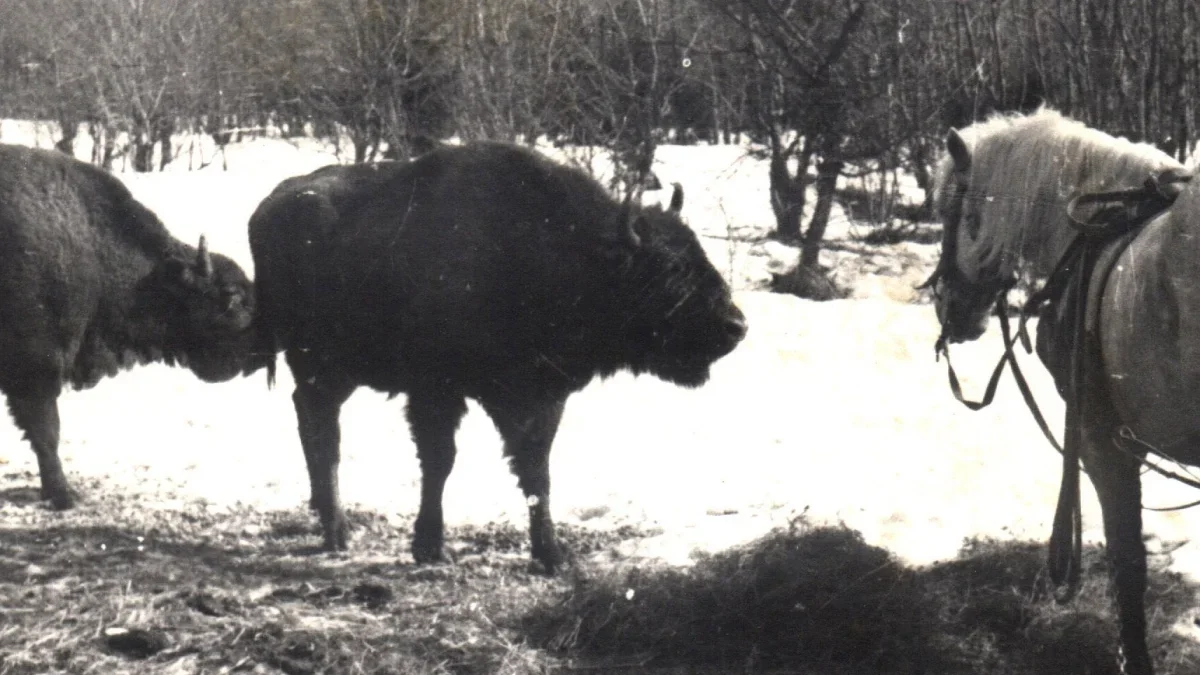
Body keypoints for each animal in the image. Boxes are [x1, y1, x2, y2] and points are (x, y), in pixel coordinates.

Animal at [248, 140, 744, 566]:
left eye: (698, 251)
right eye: (670, 267)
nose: (736, 326)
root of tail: (268, 206)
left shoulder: (539, 397)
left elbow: (536, 471)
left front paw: (551, 554)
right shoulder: (436, 392)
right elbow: (440, 462)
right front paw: (429, 546)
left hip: (338, 371)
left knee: (311, 422)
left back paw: (323, 512)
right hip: (318, 364)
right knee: (323, 432)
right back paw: (336, 530)